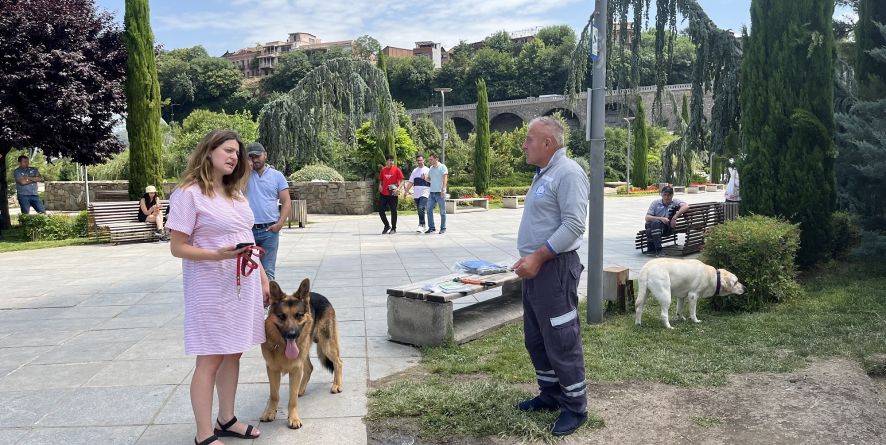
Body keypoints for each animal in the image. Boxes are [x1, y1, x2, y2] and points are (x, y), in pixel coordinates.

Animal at [260, 280, 344, 428]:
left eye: (298, 315)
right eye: (281, 316)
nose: (292, 335)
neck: (282, 347)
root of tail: (320, 296)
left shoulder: (295, 369)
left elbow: (292, 400)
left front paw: (293, 418)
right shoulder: (272, 370)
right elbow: (274, 395)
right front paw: (270, 412)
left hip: (326, 345)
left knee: (338, 362)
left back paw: (337, 384)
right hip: (304, 352)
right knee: (310, 367)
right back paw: (301, 389)